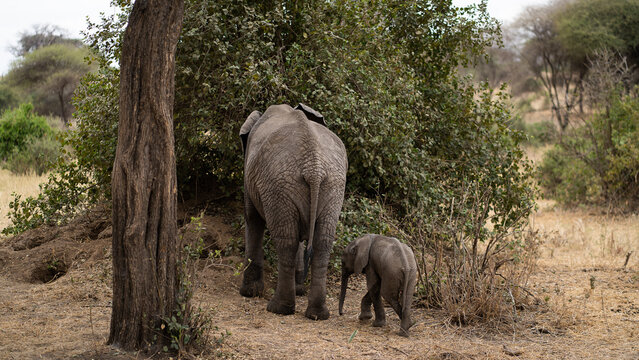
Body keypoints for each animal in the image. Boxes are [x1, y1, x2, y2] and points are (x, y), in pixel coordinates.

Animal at [240, 102, 348, 320]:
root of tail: (313, 167)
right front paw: (299, 290)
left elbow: (252, 218)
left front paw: (248, 293)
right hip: (331, 186)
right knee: (323, 242)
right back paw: (317, 314)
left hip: (278, 186)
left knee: (286, 241)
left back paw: (278, 308)